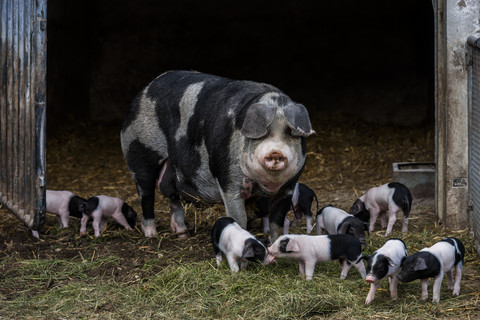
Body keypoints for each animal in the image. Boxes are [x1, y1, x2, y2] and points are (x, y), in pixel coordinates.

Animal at [121, 70, 316, 240]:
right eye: (262, 133)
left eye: (291, 133)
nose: (276, 151)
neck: (265, 185)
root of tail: (144, 90)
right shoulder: (228, 180)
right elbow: (239, 219)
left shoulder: (288, 188)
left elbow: (277, 222)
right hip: (138, 151)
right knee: (146, 194)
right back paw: (151, 234)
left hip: (172, 166)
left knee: (172, 194)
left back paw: (183, 234)